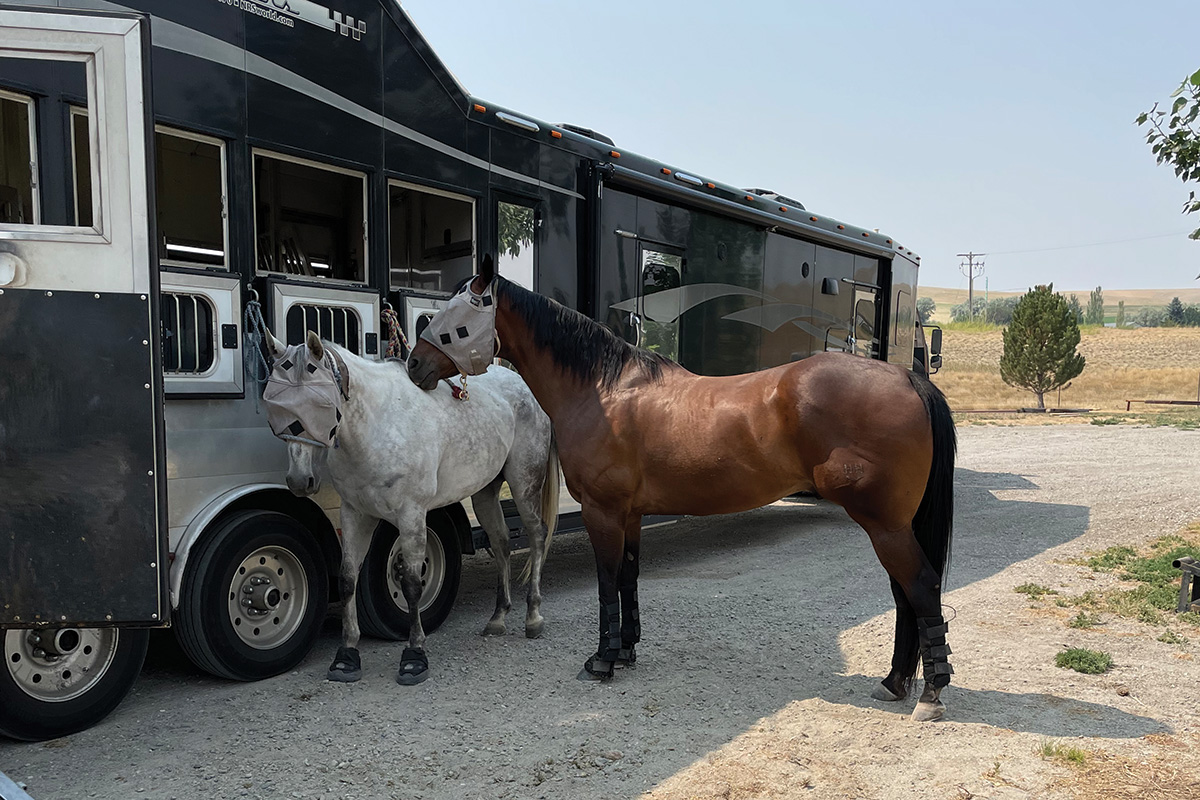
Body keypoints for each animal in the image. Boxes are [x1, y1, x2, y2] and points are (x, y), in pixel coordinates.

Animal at [261, 331, 556, 690]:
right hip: (485, 492)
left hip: (524, 482)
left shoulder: (411, 515)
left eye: (319, 406)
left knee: (537, 536)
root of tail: (521, 384)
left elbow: (412, 584)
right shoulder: (354, 514)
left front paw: (414, 655)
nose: (299, 480)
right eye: (275, 406)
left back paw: (533, 616)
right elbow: (347, 579)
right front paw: (347, 655)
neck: (376, 426)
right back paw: (498, 617)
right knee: (501, 544)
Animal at [408, 257, 960, 724]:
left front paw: (601, 661)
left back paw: (930, 694)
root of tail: (909, 380)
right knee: (905, 594)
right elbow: (628, 579)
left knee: (920, 586)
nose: (414, 366)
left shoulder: (603, 513)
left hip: (885, 526)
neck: (603, 390)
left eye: (458, 315)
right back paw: (894, 682)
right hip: (892, 526)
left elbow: (607, 582)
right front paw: (626, 651)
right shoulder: (629, 515)